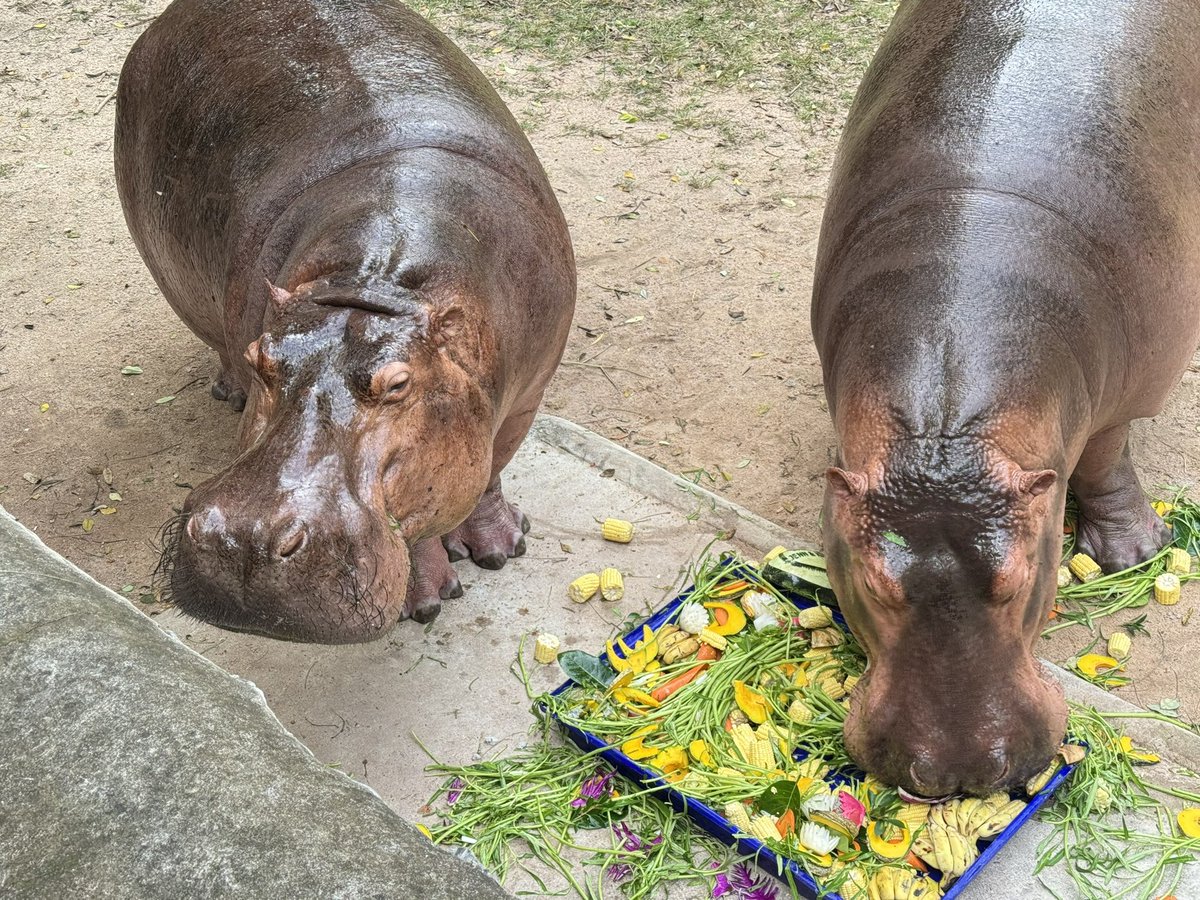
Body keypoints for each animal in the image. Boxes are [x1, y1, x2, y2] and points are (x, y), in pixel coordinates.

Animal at [114, 0, 576, 642]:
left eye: (400, 383)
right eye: (262, 358)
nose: (245, 543)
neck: (374, 288)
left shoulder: (527, 393)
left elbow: (483, 475)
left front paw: (500, 549)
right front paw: (426, 599)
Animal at [811, 0, 1200, 796]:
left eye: (1019, 578)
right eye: (874, 582)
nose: (959, 772)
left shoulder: (1124, 396)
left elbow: (1106, 458)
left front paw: (1134, 553)